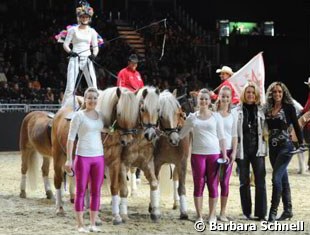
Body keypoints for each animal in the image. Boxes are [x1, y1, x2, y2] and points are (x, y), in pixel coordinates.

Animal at [116, 86, 161, 222]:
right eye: (142, 109)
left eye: (158, 109)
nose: (150, 135)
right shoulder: (122, 164)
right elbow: (123, 190)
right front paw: (123, 214)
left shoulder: (147, 164)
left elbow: (154, 183)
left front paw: (155, 211)